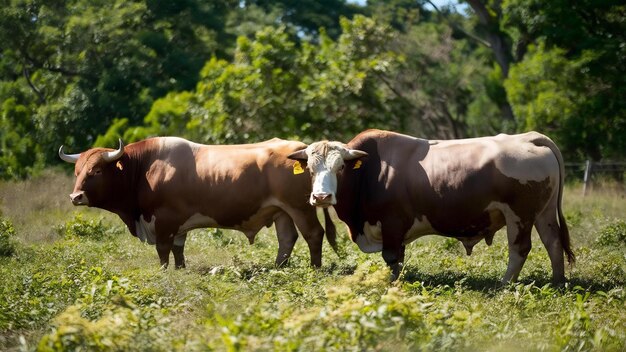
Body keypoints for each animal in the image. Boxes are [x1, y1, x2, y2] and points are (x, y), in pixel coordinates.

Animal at [58, 136, 336, 268]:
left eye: (96, 171)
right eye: (77, 171)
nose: (75, 197)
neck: (144, 168)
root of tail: (302, 149)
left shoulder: (164, 220)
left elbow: (163, 251)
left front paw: (164, 272)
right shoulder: (177, 224)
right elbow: (178, 249)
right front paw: (180, 269)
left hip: (301, 207)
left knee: (313, 234)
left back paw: (314, 268)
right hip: (281, 212)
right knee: (287, 239)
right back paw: (278, 267)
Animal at [290, 129, 572, 286]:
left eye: (341, 167)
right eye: (310, 168)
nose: (322, 197)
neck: (372, 172)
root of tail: (530, 138)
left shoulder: (393, 223)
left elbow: (391, 258)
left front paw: (393, 284)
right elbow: (398, 258)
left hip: (519, 215)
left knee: (520, 249)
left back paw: (504, 284)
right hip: (543, 213)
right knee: (553, 242)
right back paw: (558, 282)